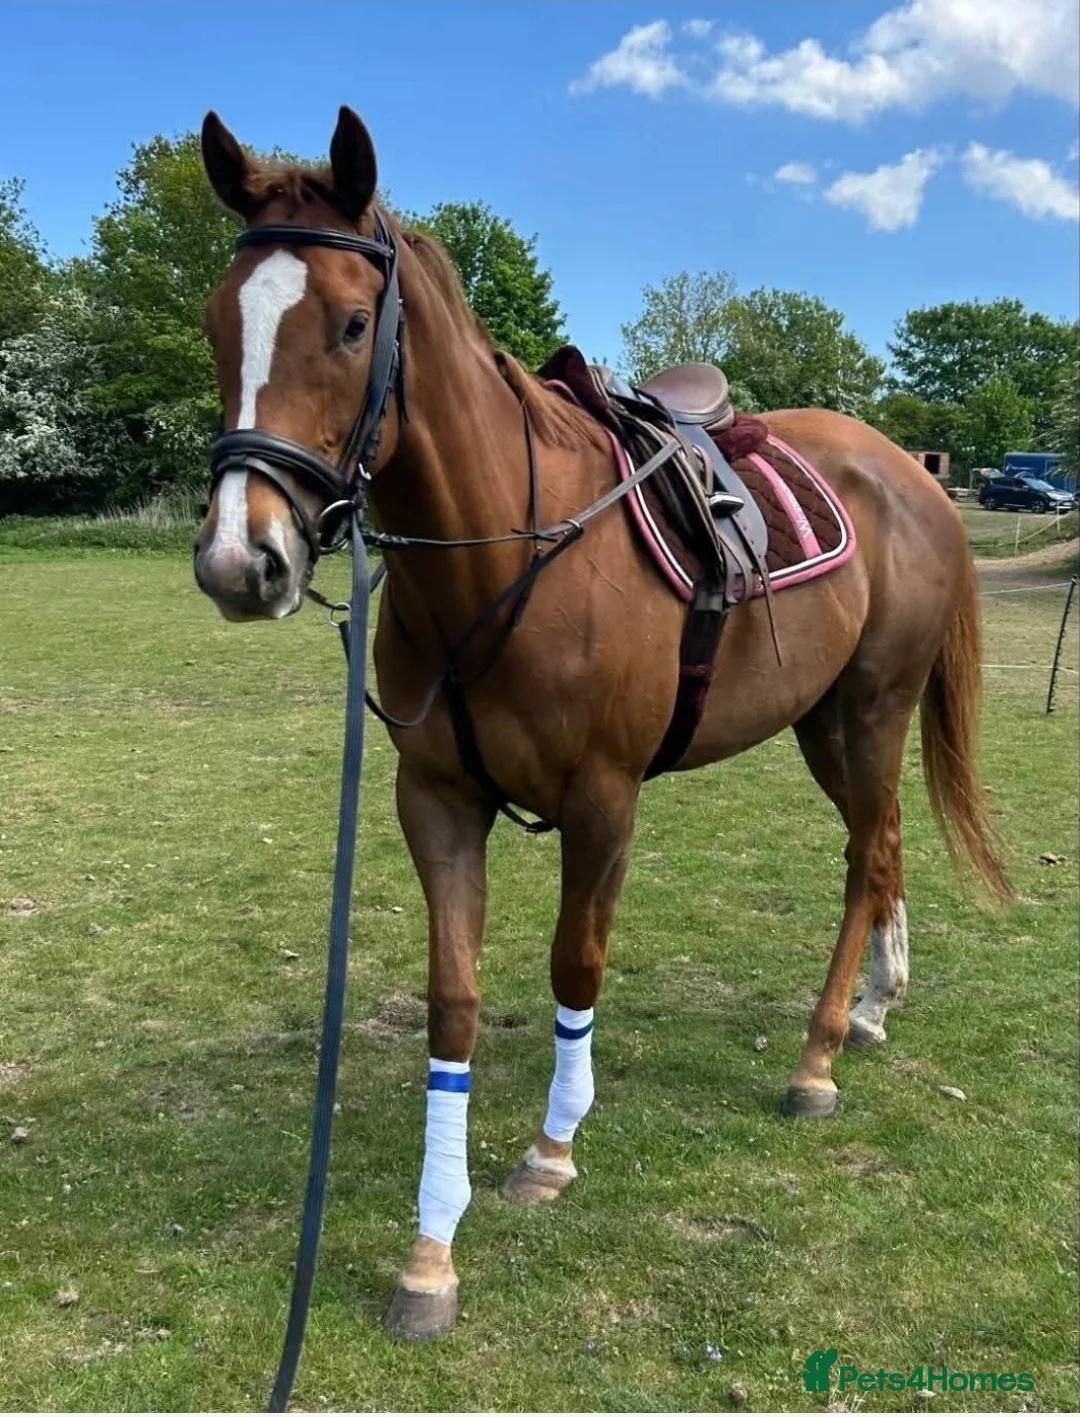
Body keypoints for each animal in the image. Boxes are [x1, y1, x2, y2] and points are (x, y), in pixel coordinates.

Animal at [193, 106, 1010, 1342]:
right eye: (215, 323)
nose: (243, 562)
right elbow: (453, 1001)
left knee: (867, 855)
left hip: (871, 712)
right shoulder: (437, 801)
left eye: (349, 324)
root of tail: (910, 473)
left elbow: (575, 964)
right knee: (886, 848)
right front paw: (432, 1251)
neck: (503, 554)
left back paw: (819, 1057)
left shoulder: (602, 801)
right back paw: (874, 1007)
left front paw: (551, 1148)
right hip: (824, 724)